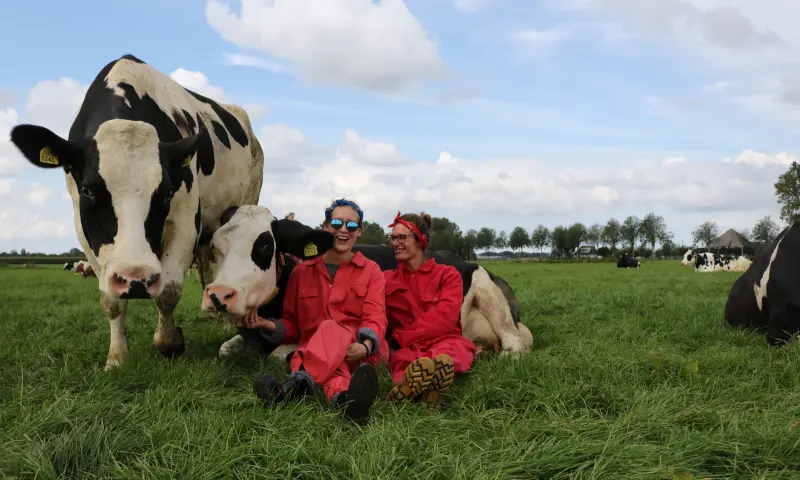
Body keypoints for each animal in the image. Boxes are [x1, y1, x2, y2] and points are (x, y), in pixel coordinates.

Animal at [9, 54, 264, 369]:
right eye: (87, 191)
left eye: (166, 192)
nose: (136, 279)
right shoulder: (86, 233)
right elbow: (111, 300)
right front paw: (117, 359)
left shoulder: (186, 220)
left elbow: (168, 290)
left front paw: (171, 342)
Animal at [203, 206, 533, 360]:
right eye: (215, 247)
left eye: (264, 246)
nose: (219, 295)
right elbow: (224, 349)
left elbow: (276, 356)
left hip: (489, 296)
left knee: (514, 344)